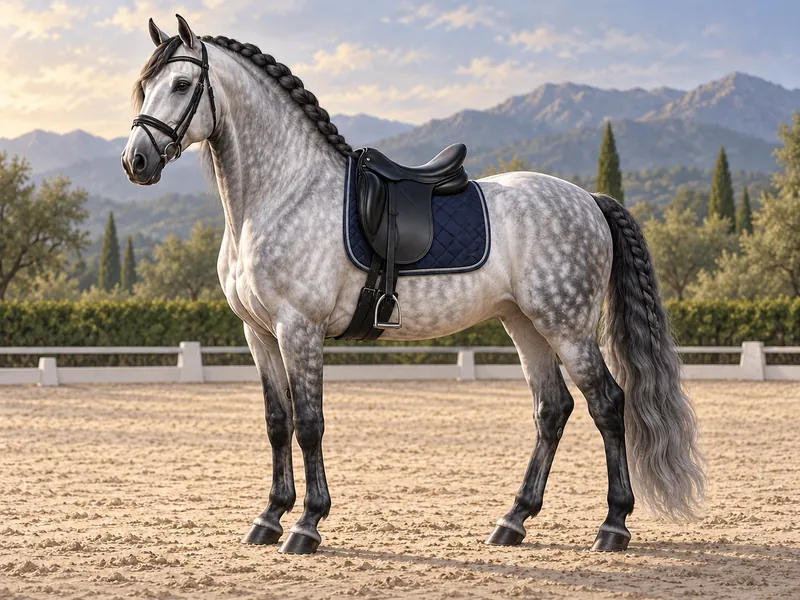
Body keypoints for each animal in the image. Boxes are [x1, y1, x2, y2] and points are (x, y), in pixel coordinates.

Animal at [122, 15, 705, 555]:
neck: (282, 194)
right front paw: (269, 518)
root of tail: (589, 199)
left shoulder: (298, 329)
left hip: (569, 327)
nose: (136, 161)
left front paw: (307, 525)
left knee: (607, 403)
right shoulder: (259, 334)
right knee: (552, 409)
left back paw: (614, 525)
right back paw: (513, 520)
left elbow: (309, 423)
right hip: (525, 324)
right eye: (145, 87)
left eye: (181, 85)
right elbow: (276, 422)